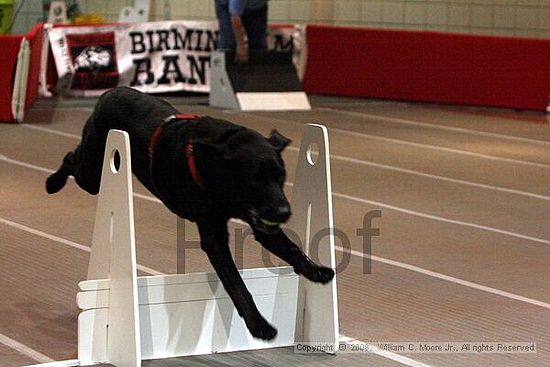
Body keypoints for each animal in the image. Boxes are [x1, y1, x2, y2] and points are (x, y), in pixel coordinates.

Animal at [46, 87, 332, 340]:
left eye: (281, 178)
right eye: (254, 181)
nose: (284, 211)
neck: (216, 166)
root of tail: (110, 92)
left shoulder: (262, 224)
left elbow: (291, 248)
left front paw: (316, 271)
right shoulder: (215, 237)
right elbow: (236, 284)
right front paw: (259, 325)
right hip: (94, 170)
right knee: (71, 158)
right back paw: (52, 183)